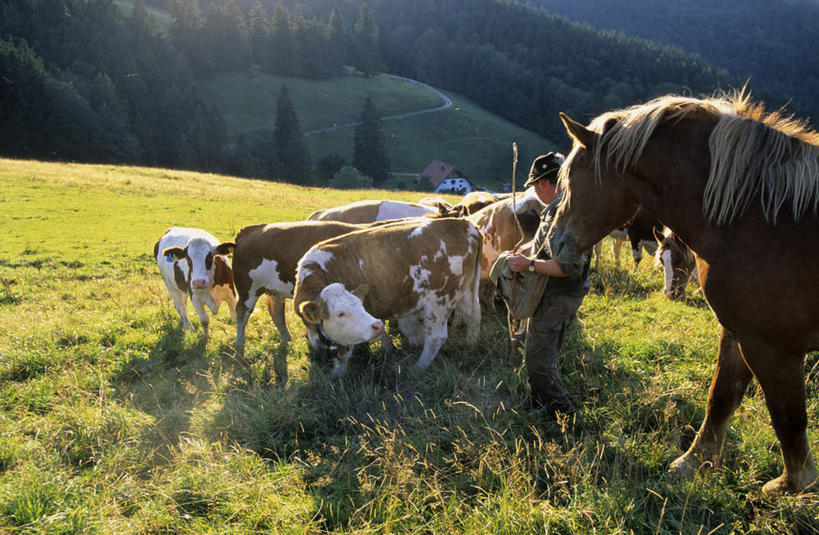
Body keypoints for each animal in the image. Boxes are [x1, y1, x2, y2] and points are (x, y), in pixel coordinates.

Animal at [234, 221, 368, 356]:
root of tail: (251, 229)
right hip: (248, 291)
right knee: (242, 313)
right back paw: (239, 345)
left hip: (274, 292)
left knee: (276, 313)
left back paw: (287, 339)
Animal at [294, 217, 484, 372]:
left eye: (340, 314)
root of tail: (465, 225)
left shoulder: (344, 337)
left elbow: (342, 356)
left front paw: (337, 376)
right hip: (466, 290)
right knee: (474, 314)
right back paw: (470, 344)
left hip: (440, 301)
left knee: (436, 337)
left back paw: (418, 367)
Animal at [552, 90, 819, 496]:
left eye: (570, 177)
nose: (554, 243)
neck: (762, 216)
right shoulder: (739, 332)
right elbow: (721, 397)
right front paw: (694, 463)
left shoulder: (773, 345)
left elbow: (788, 416)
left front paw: (792, 485)